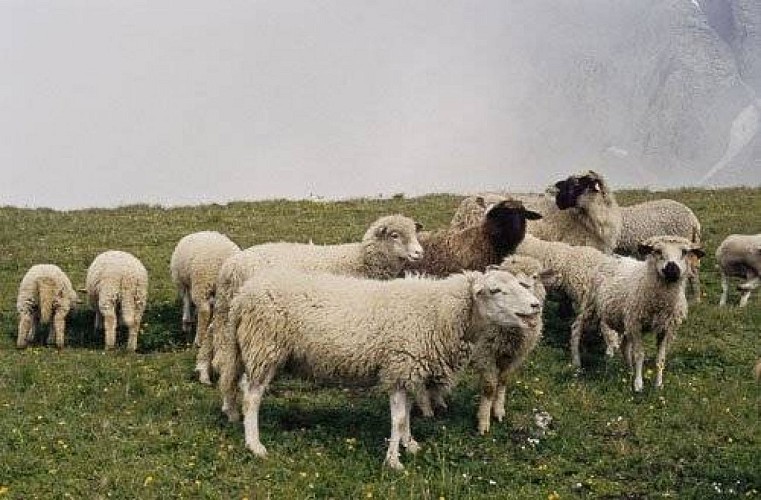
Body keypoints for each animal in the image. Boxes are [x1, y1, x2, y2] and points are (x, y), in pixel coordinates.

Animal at [206, 214, 424, 393]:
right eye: (395, 235)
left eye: (414, 232)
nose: (419, 252)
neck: (360, 260)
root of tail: (230, 267)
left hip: (227, 312)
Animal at [230, 267, 541, 470]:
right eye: (495, 290)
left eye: (520, 284)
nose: (535, 305)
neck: (439, 313)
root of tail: (242, 295)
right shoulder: (399, 366)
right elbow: (398, 418)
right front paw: (394, 461)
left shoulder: (408, 371)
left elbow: (406, 415)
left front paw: (409, 445)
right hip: (264, 347)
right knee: (252, 397)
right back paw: (255, 445)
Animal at [570, 236, 705, 391]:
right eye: (657, 251)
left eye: (684, 252)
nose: (672, 268)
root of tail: (611, 256)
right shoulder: (636, 324)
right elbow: (639, 355)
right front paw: (638, 384)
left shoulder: (665, 328)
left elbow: (660, 358)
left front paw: (658, 384)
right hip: (591, 305)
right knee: (576, 328)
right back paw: (576, 362)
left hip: (624, 319)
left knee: (624, 346)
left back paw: (629, 370)